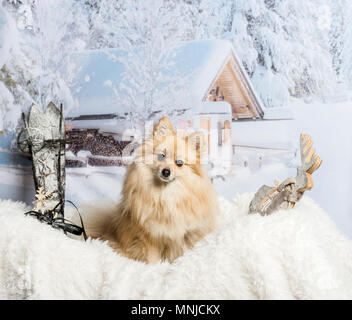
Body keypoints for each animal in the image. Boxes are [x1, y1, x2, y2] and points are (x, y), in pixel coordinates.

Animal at [85, 117, 217, 262]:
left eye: (179, 163)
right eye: (161, 156)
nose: (166, 171)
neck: (165, 195)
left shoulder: (185, 235)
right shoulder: (148, 235)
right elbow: (152, 258)